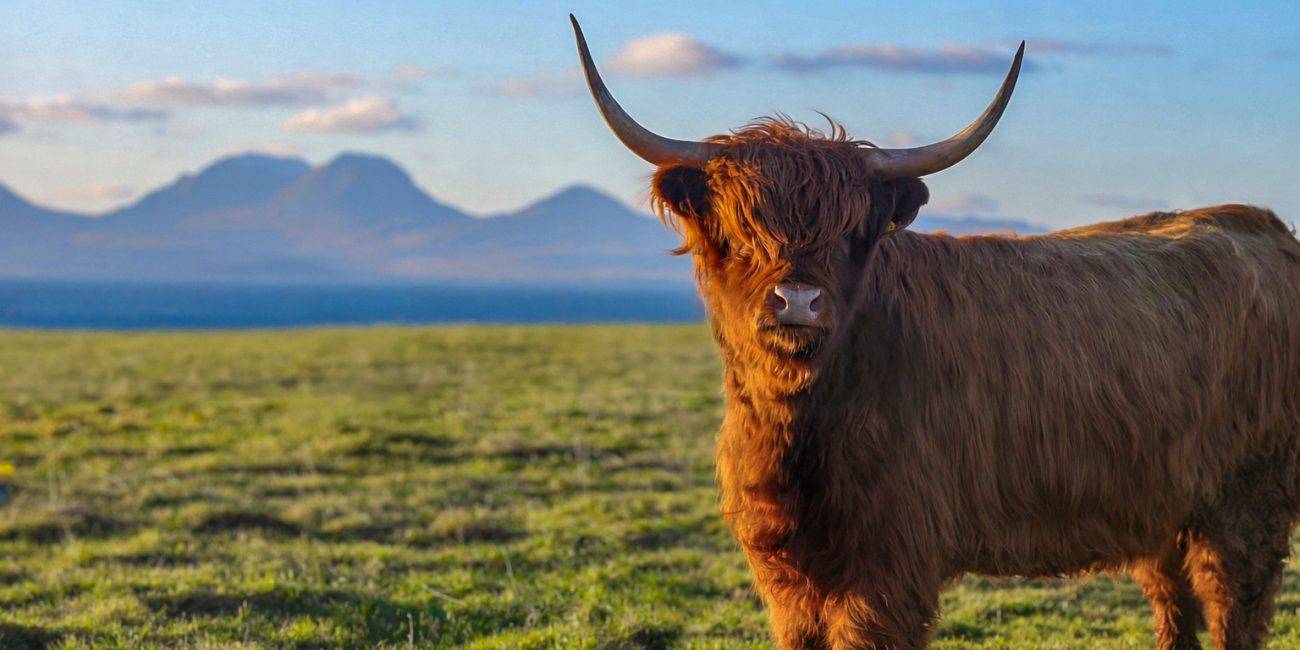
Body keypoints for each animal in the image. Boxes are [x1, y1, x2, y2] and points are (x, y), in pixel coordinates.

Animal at [570, 16, 1300, 650]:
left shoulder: (888, 566)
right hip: (1163, 507)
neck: (800, 422)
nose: (798, 300)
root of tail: (1262, 225)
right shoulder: (786, 571)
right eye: (737, 234)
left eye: (850, 235)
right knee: (1174, 606)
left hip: (1247, 504)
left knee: (1236, 610)